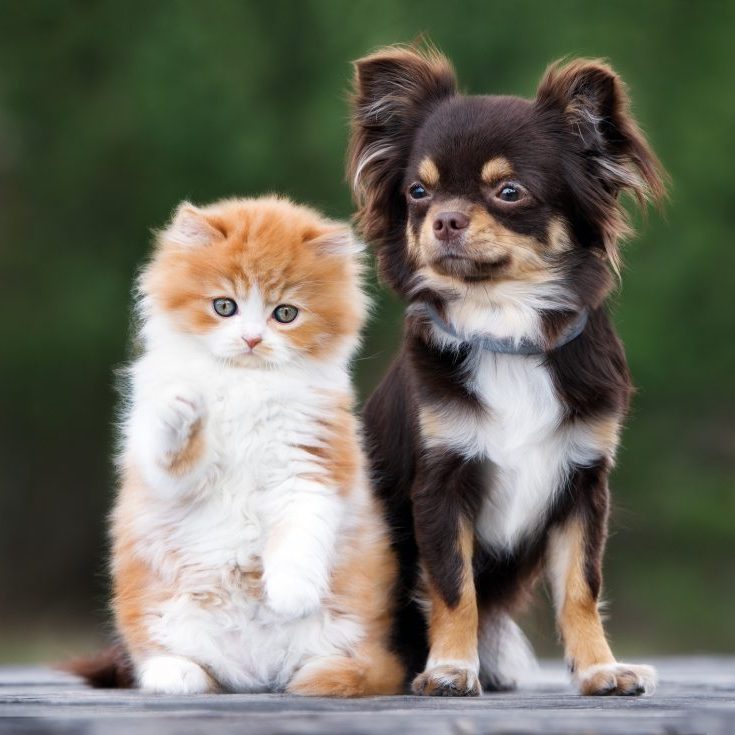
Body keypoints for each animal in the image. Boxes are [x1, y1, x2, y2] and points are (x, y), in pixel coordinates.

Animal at [112, 196, 406, 696]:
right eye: (224, 306)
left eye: (285, 314)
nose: (251, 339)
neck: (246, 385)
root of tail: (255, 673)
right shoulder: (166, 473)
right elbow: (172, 456)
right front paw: (182, 411)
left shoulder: (311, 459)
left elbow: (300, 531)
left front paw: (290, 593)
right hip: (164, 613)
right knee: (185, 664)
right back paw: (177, 673)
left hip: (345, 631)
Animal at [350, 43, 668, 700]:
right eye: (417, 191)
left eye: (510, 192)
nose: (444, 219)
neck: (505, 332)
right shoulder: (441, 487)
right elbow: (454, 586)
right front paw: (450, 668)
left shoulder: (581, 485)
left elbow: (581, 587)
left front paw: (600, 669)